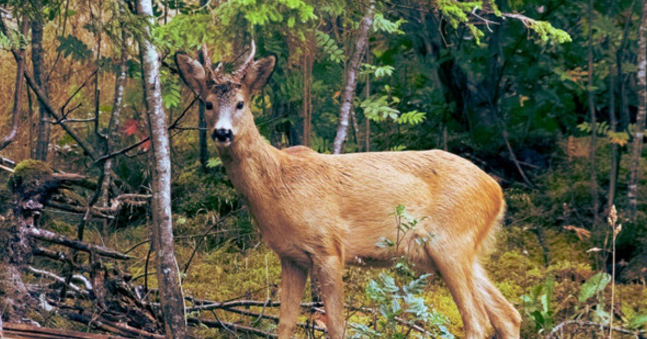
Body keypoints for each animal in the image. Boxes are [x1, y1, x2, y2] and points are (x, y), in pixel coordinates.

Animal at [176, 43, 520, 339]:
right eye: (207, 104)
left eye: (241, 103)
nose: (222, 133)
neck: (279, 187)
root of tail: (496, 192)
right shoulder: (290, 256)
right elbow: (285, 323)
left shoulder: (329, 247)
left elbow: (337, 326)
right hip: (463, 251)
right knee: (508, 314)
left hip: (450, 243)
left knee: (477, 321)